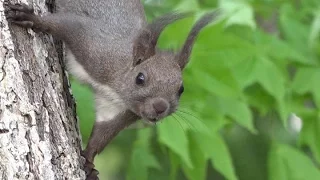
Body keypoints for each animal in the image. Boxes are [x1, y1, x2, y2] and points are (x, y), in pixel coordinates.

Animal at [5, 0, 219, 179]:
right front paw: (30, 18)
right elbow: (63, 24)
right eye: (140, 78)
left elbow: (102, 134)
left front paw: (89, 161)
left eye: (181, 89)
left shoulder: (116, 110)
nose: (160, 107)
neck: (117, 90)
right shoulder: (95, 47)